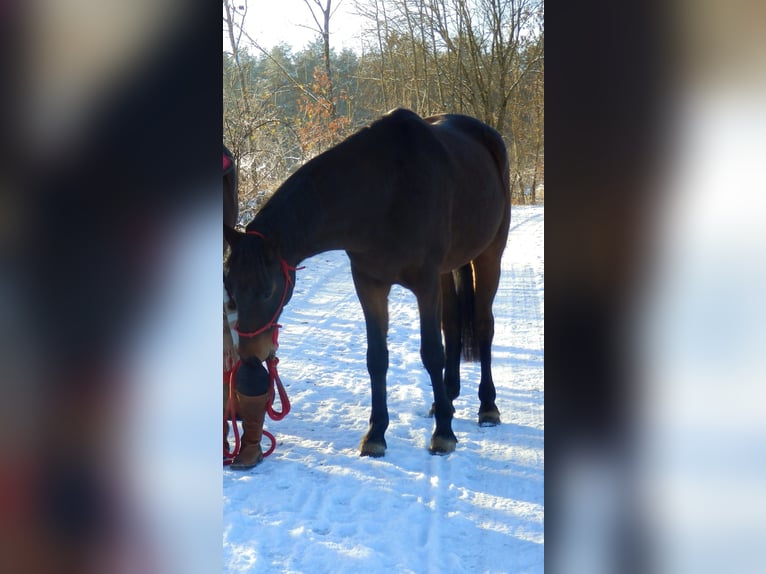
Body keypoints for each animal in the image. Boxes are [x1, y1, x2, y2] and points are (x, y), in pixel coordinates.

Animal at [224, 109, 510, 460]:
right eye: (231, 290)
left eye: (268, 291)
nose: (251, 357)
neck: (385, 192)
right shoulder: (369, 285)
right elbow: (377, 358)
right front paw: (376, 434)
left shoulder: (425, 285)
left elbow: (431, 352)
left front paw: (443, 433)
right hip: (449, 268)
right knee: (453, 325)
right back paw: (447, 396)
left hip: (489, 255)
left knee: (483, 324)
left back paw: (487, 406)